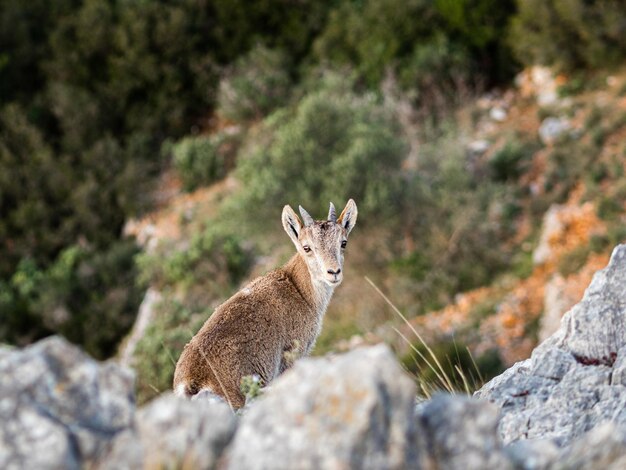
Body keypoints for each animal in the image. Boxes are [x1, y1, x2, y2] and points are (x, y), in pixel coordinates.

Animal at [172, 198, 356, 408]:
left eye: (343, 242)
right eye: (307, 247)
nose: (333, 272)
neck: (298, 289)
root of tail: (190, 384)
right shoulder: (292, 355)